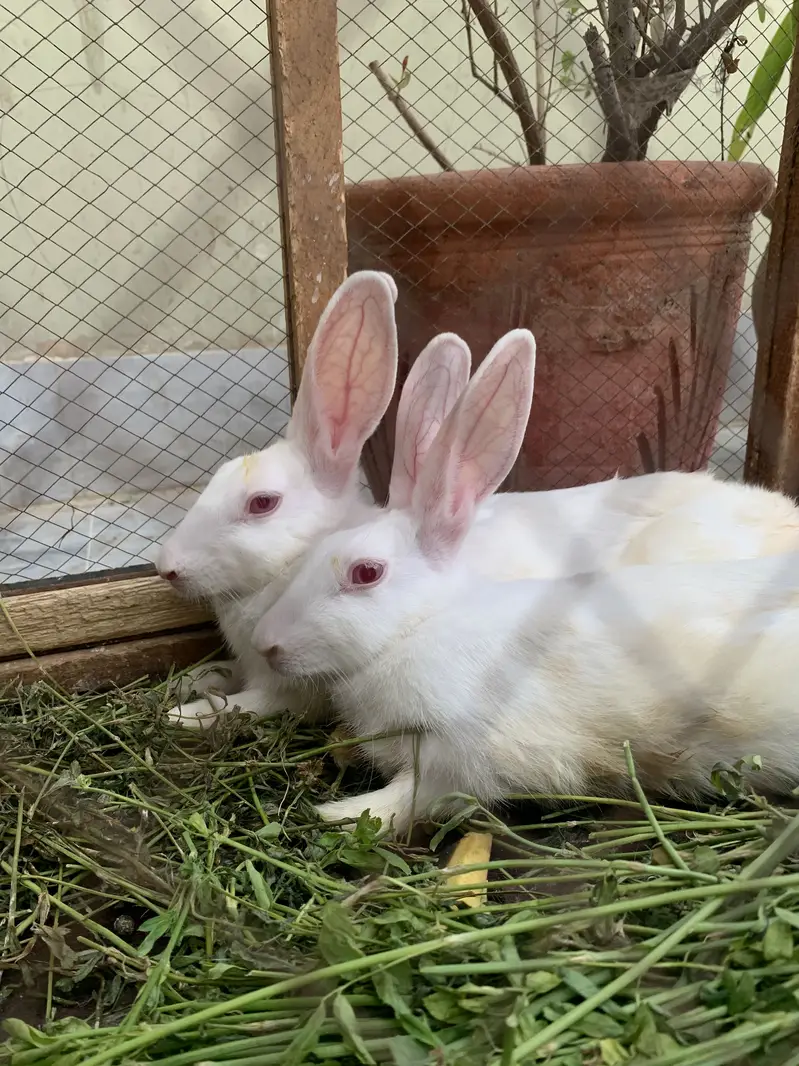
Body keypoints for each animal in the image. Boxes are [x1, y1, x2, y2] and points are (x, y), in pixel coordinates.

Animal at [251, 331, 799, 835]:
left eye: (365, 573)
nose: (266, 645)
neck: (420, 626)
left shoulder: (464, 755)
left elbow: (415, 797)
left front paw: (337, 814)